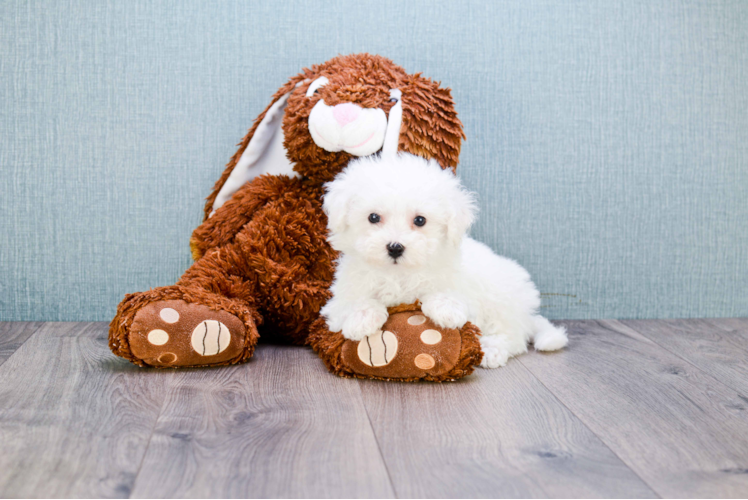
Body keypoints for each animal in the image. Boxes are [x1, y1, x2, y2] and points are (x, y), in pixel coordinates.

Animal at [318, 152, 568, 368]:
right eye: (373, 217)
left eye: (420, 220)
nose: (395, 247)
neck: (399, 273)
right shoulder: (339, 298)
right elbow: (354, 301)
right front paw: (361, 319)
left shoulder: (464, 286)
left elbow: (447, 292)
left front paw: (446, 309)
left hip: (502, 297)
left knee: (513, 335)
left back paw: (491, 348)